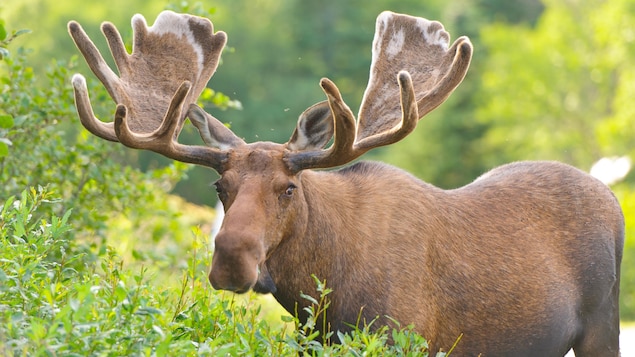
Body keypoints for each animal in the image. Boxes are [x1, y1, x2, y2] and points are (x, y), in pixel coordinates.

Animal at [67, 9, 624, 354]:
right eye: (219, 188)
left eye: (289, 189)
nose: (230, 260)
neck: (322, 292)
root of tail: (612, 197)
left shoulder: (403, 337)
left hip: (603, 325)